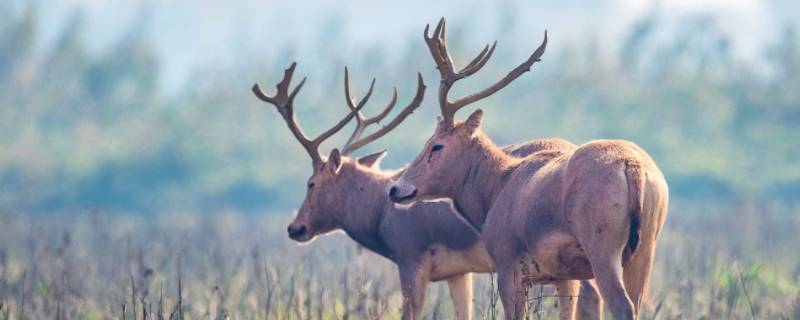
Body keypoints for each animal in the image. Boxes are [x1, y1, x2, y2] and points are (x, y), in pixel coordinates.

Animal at [388, 18, 668, 320]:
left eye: (436, 145)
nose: (395, 189)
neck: (497, 188)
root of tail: (633, 166)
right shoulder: (563, 276)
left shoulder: (508, 265)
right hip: (645, 249)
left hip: (602, 247)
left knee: (622, 305)